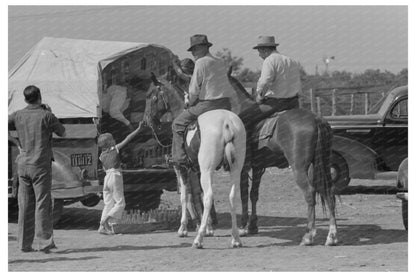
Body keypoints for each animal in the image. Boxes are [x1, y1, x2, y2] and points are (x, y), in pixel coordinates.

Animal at [145, 78, 245, 248]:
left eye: (152, 96)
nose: (147, 120)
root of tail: (227, 123)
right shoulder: (196, 170)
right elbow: (197, 194)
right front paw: (209, 228)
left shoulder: (182, 168)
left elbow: (186, 196)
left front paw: (184, 229)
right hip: (235, 169)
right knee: (232, 196)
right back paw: (235, 238)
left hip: (207, 170)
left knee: (209, 197)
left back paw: (198, 239)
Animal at [228, 69, 338, 246]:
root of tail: (316, 119)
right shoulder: (258, 167)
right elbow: (253, 194)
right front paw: (252, 226)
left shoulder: (243, 167)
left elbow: (244, 194)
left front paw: (243, 227)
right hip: (323, 165)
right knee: (329, 192)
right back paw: (332, 236)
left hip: (299, 168)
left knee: (310, 193)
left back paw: (308, 236)